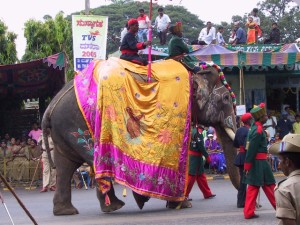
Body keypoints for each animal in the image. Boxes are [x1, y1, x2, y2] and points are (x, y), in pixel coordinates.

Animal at [41, 57, 239, 214]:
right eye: (226, 99)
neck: (194, 71)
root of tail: (50, 108)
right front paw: (182, 204)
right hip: (78, 126)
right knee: (89, 162)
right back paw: (119, 205)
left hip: (65, 132)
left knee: (65, 166)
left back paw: (68, 211)